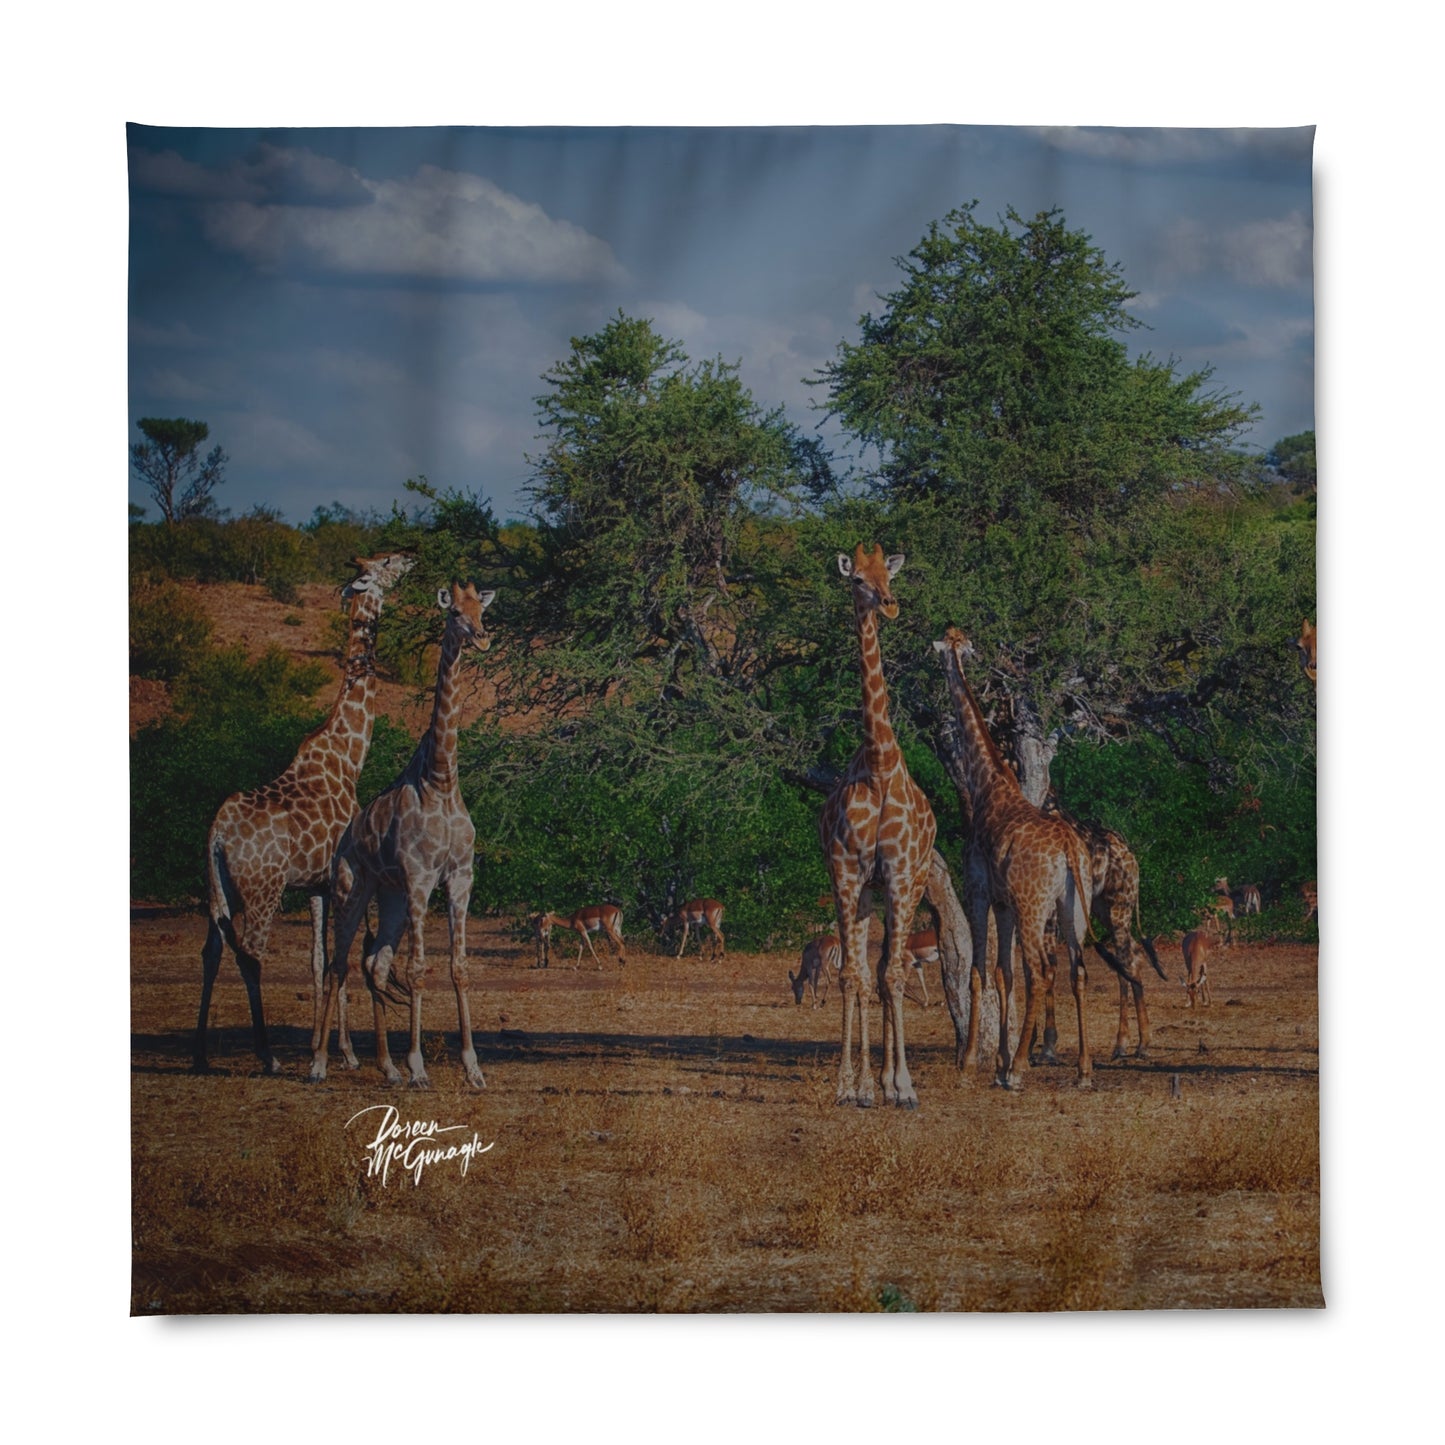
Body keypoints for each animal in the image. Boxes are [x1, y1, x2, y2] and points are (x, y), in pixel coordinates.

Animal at [194, 551, 414, 1075]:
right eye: (386, 562)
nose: (413, 556)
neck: (348, 756)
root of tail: (216, 834)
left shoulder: (316, 884)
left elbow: (319, 961)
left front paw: (326, 1048)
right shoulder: (347, 877)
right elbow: (343, 957)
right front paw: (347, 1054)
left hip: (218, 888)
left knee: (211, 950)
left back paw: (200, 1055)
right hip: (262, 888)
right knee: (250, 954)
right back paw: (266, 1055)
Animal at [309, 581, 495, 1088]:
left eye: (483, 610)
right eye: (454, 614)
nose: (482, 637)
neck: (441, 781)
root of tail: (345, 838)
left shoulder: (460, 878)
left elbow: (459, 967)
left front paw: (473, 1067)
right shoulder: (420, 879)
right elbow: (416, 970)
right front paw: (419, 1067)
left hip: (389, 897)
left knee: (374, 964)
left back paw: (386, 1067)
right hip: (352, 889)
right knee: (337, 965)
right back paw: (319, 1064)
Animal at [933, 627, 1093, 1088]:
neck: (986, 784)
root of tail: (1070, 850)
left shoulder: (979, 891)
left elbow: (978, 972)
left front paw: (973, 1063)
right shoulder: (1003, 904)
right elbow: (1003, 975)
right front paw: (999, 1061)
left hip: (1033, 904)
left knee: (1041, 972)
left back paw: (1022, 1068)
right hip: (1072, 906)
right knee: (1076, 971)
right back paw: (1083, 1069)